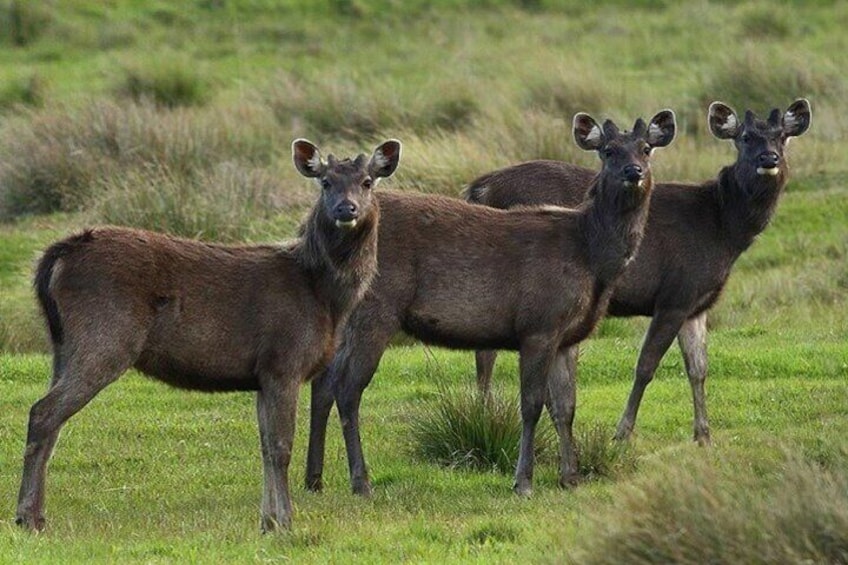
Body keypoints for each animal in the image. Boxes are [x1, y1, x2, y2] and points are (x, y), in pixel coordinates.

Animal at [15, 138, 400, 532]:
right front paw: (286, 522)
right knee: (43, 412)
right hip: (105, 337)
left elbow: (264, 446)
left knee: (51, 419)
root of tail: (57, 256)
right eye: (325, 182)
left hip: (64, 345)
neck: (324, 296)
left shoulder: (261, 375)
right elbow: (281, 447)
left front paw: (267, 521)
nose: (346, 208)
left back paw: (36, 514)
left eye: (367, 181)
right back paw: (27, 517)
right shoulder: (284, 361)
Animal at [306, 108, 676, 496]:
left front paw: (570, 477)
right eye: (607, 151)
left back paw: (314, 479)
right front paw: (524, 481)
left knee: (323, 382)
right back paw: (361, 482)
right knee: (348, 388)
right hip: (375, 311)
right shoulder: (539, 324)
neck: (589, 255)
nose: (633, 172)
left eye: (646, 148)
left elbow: (566, 406)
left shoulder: (568, 335)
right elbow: (531, 404)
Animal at [468, 100, 812, 446]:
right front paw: (621, 433)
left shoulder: (696, 303)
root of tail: (479, 188)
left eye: (782, 137)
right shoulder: (675, 294)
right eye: (744, 137)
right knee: (487, 353)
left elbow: (699, 367)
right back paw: (487, 417)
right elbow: (646, 365)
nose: (769, 159)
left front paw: (704, 436)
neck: (721, 230)